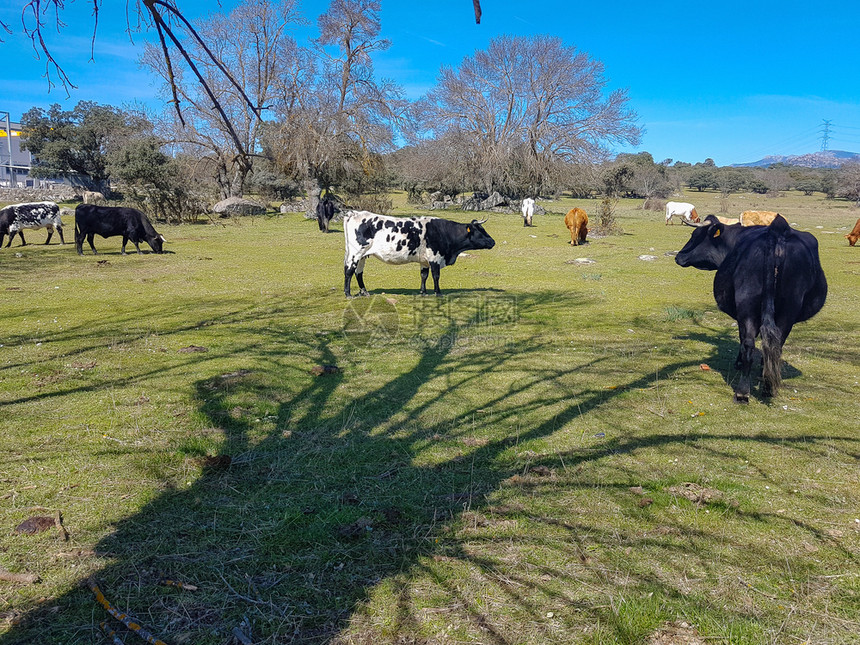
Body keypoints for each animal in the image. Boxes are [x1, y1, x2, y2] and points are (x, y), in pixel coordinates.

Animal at [340, 211, 494, 296]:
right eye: (480, 231)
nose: (493, 242)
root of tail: (355, 213)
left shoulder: (424, 260)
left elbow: (424, 275)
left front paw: (423, 292)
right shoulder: (435, 258)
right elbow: (436, 276)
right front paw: (438, 292)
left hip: (362, 256)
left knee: (358, 273)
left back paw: (365, 292)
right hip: (355, 253)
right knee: (349, 271)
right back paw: (348, 294)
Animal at [676, 216, 828, 402]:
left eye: (695, 235)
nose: (678, 256)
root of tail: (776, 233)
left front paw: (741, 363)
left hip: (749, 305)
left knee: (751, 343)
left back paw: (745, 391)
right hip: (784, 310)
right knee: (771, 343)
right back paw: (763, 387)